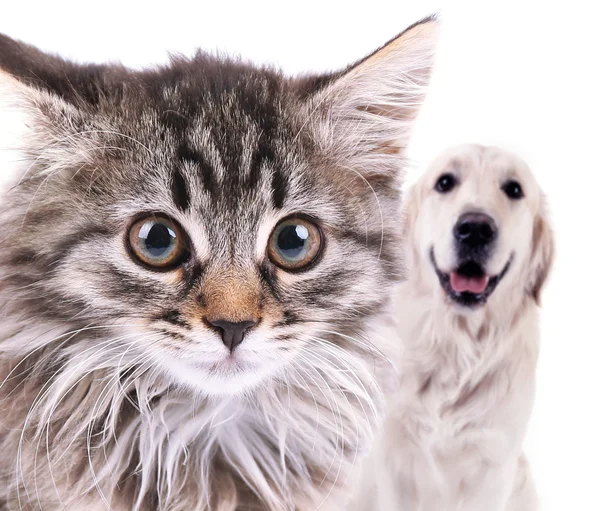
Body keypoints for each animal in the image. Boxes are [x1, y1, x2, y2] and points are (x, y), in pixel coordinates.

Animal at [352, 145, 552, 511]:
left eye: (514, 189)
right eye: (445, 182)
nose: (475, 228)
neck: (457, 345)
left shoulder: (492, 467)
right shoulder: (394, 461)